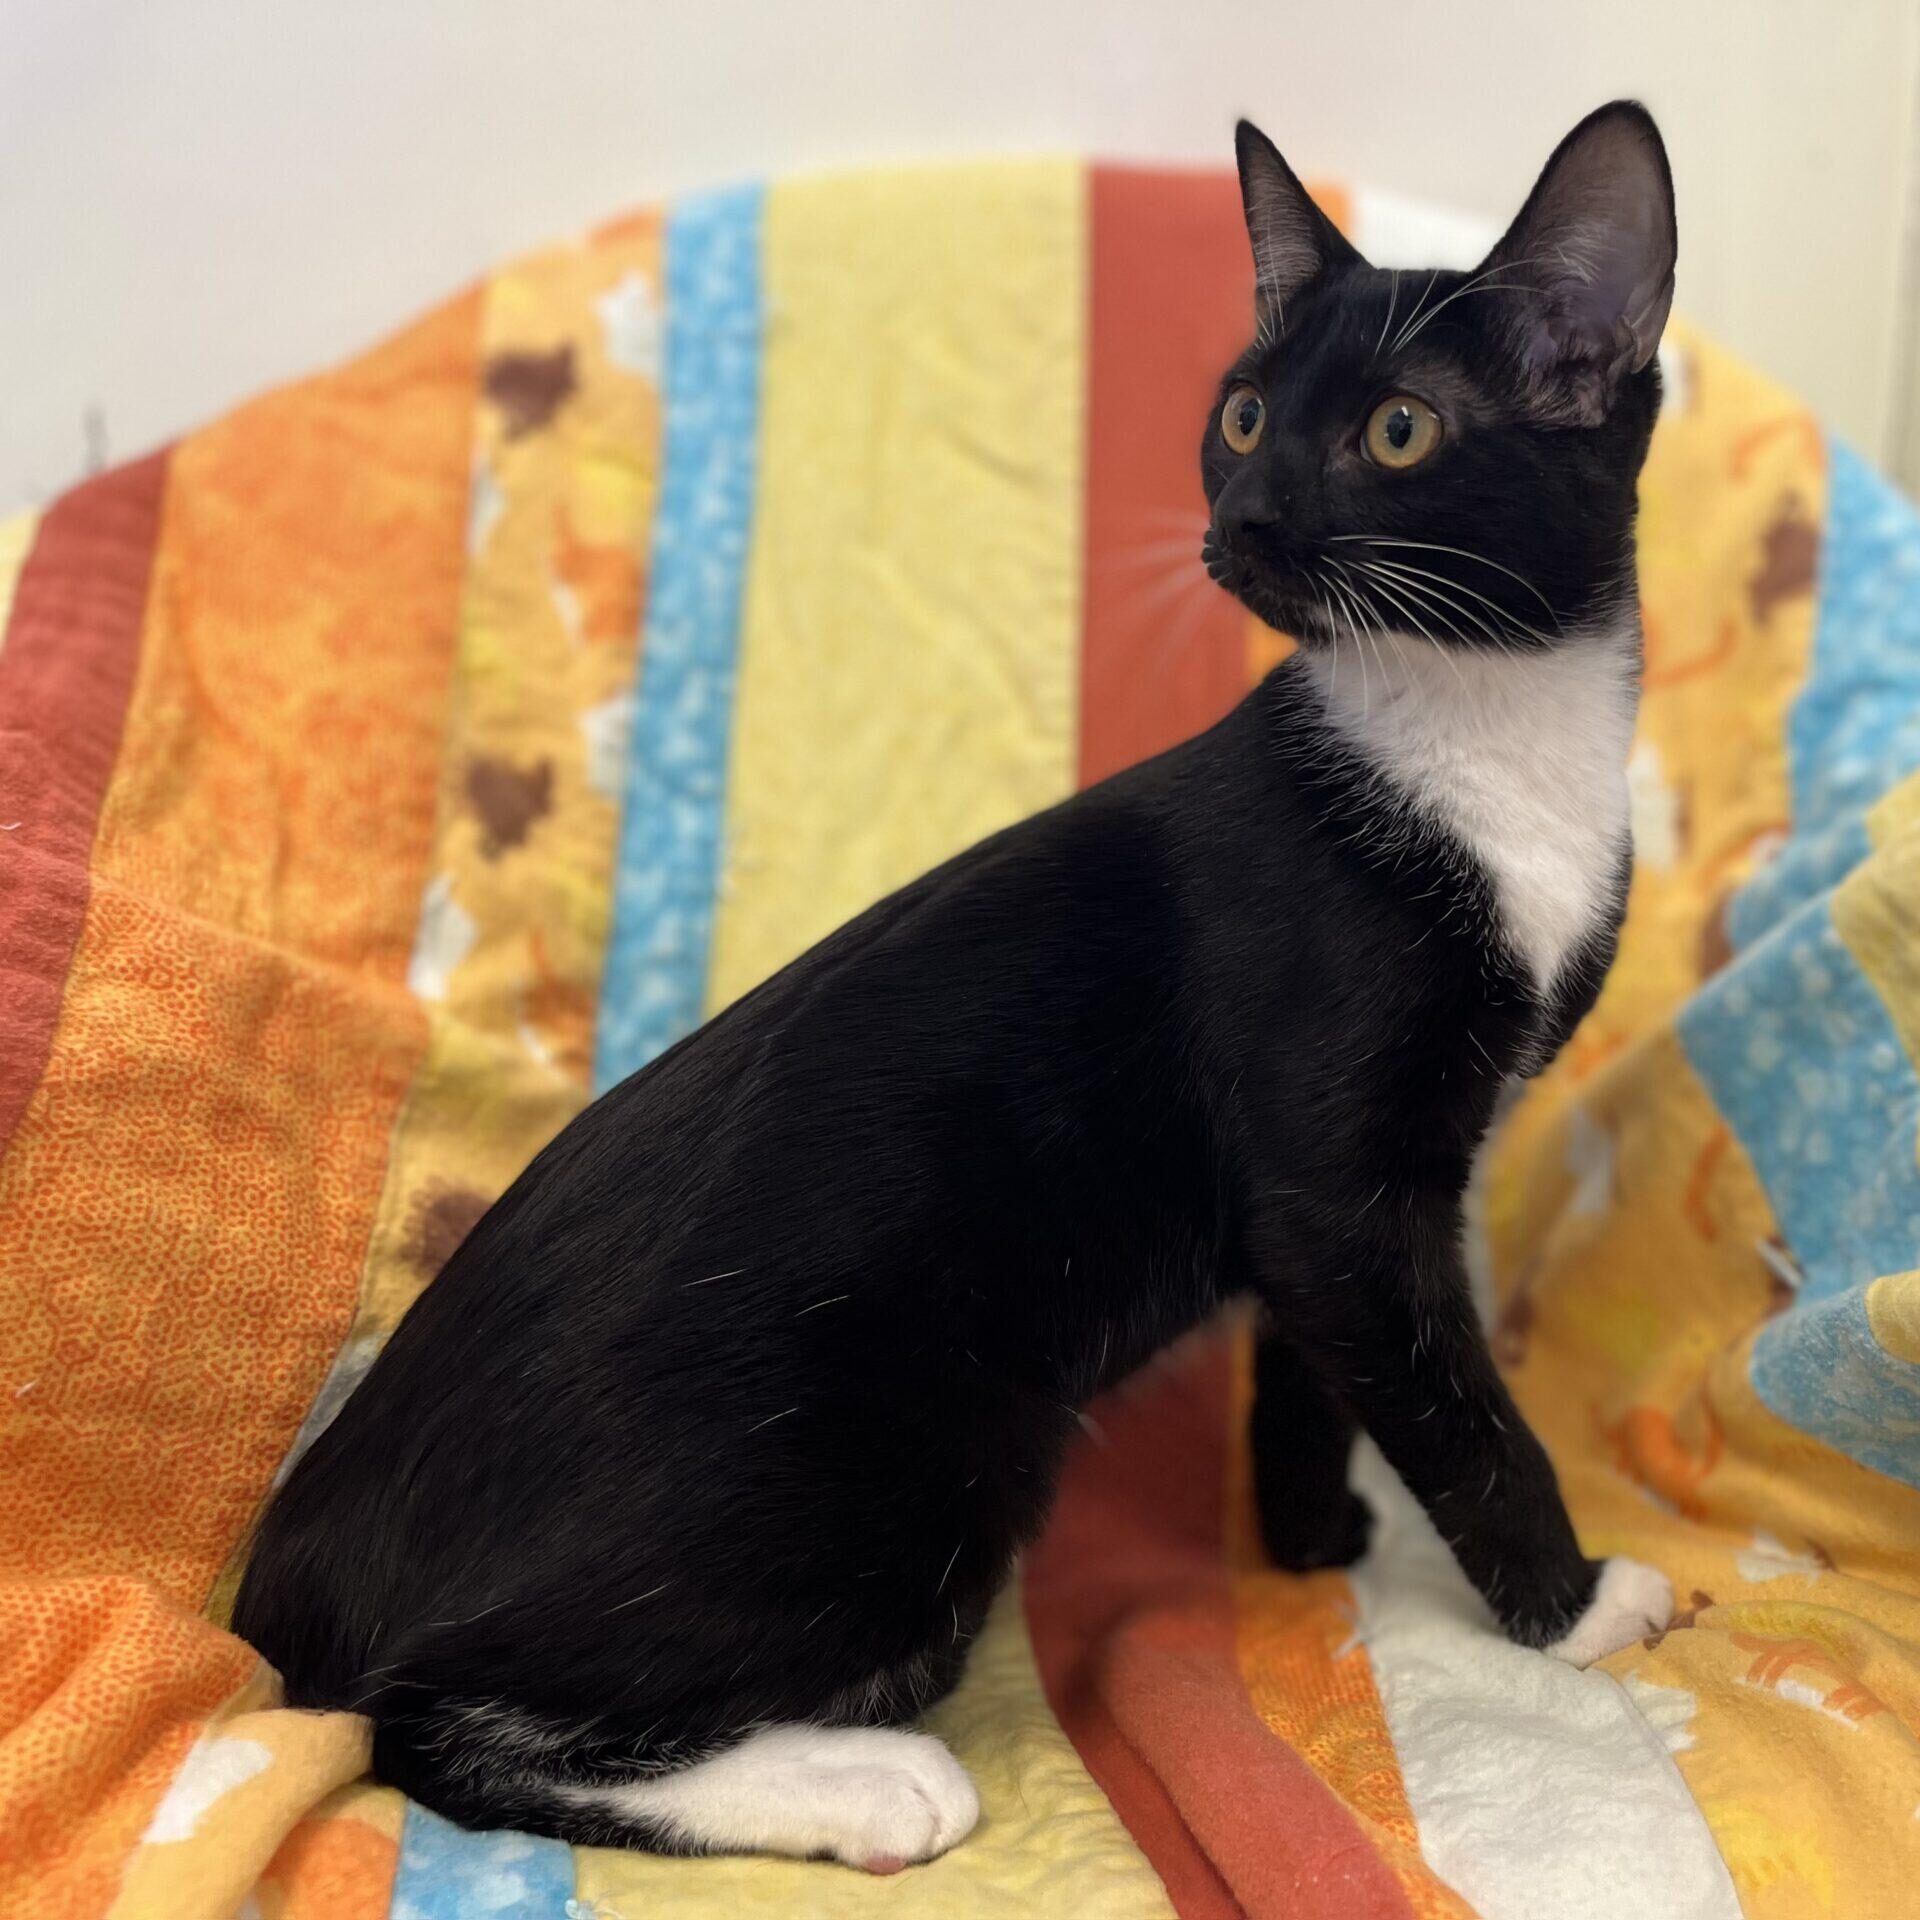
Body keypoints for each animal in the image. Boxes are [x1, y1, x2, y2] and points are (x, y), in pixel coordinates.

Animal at [233, 101, 1678, 1871]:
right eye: (1246, 414)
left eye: (1400, 429)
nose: (1247, 522)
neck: (1473, 744)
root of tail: (297, 1583)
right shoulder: (1338, 1167)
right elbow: (1453, 1402)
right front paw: (1573, 1605)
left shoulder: (1338, 1196)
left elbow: (1318, 1351)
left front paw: (1308, 1529)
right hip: (905, 1471)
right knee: (420, 1729)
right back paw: (866, 1784)